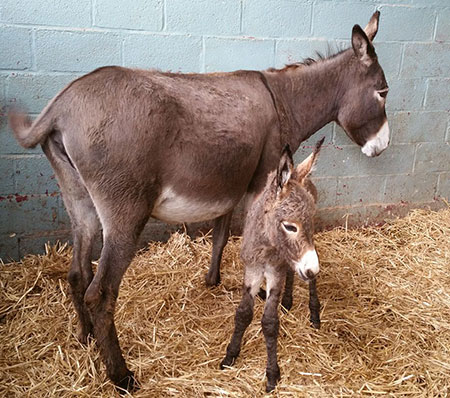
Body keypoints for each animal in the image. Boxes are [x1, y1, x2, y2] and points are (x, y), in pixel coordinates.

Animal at [221, 140, 324, 392]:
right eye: (290, 226)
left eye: (303, 225)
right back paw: (288, 299)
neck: (266, 245)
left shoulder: (274, 271)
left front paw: (271, 374)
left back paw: (314, 312)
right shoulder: (253, 269)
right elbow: (243, 313)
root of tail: (298, 172)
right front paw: (230, 355)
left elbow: (269, 322)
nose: (311, 268)